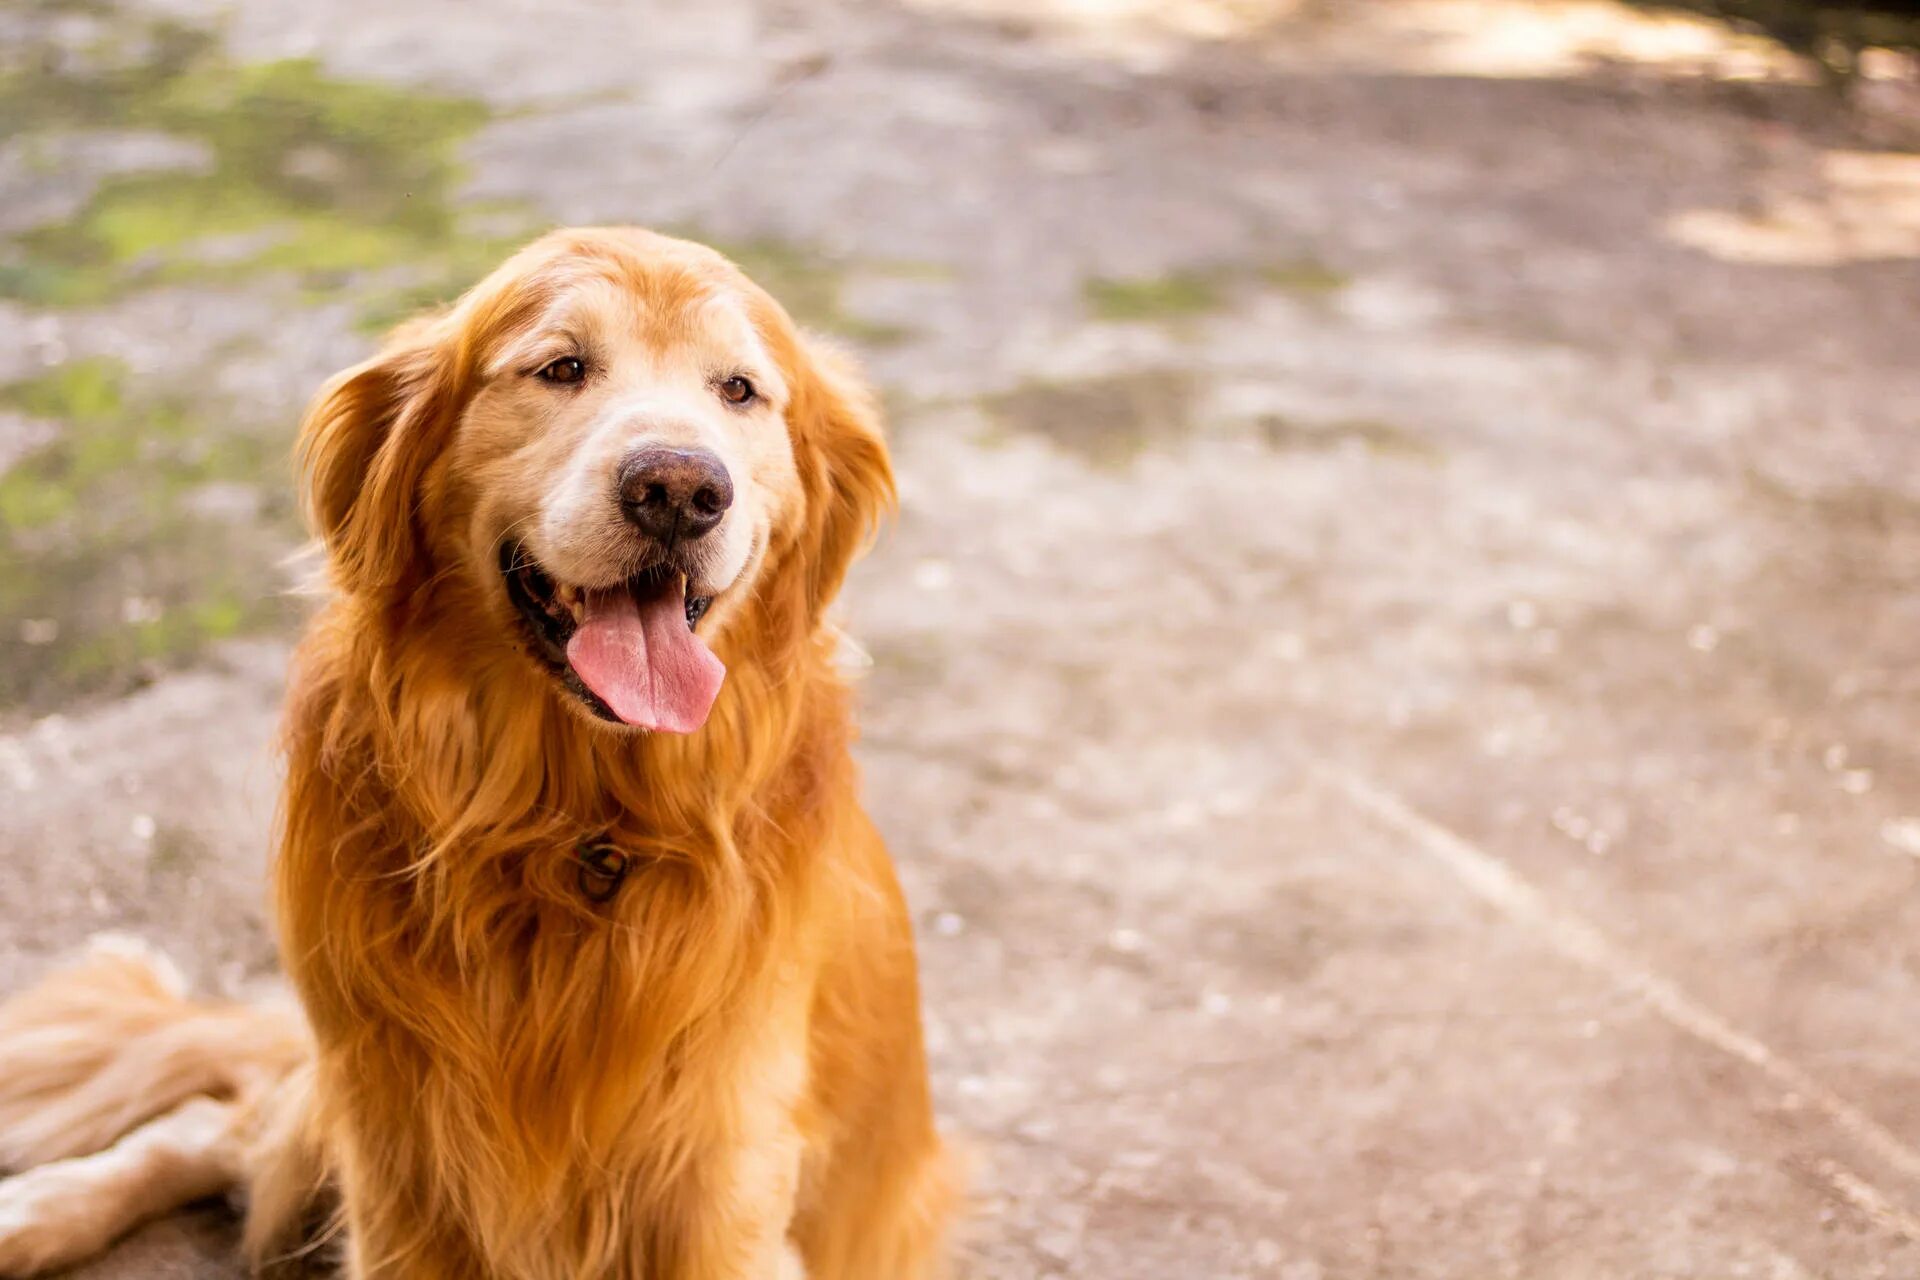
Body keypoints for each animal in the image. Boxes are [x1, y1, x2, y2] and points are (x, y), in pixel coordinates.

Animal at [0, 230, 956, 1280]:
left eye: (739, 390)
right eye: (561, 368)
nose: (679, 489)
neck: (571, 826)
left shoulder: (719, 1173)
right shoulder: (399, 1154)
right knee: (219, 1121)